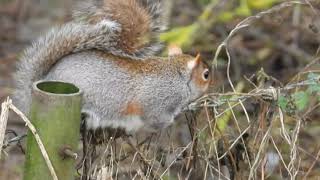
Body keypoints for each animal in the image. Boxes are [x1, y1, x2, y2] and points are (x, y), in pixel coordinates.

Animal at [13, 0, 212, 132]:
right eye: (206, 75)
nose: (211, 86)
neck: (176, 75)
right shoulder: (158, 103)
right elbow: (156, 120)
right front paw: (172, 121)